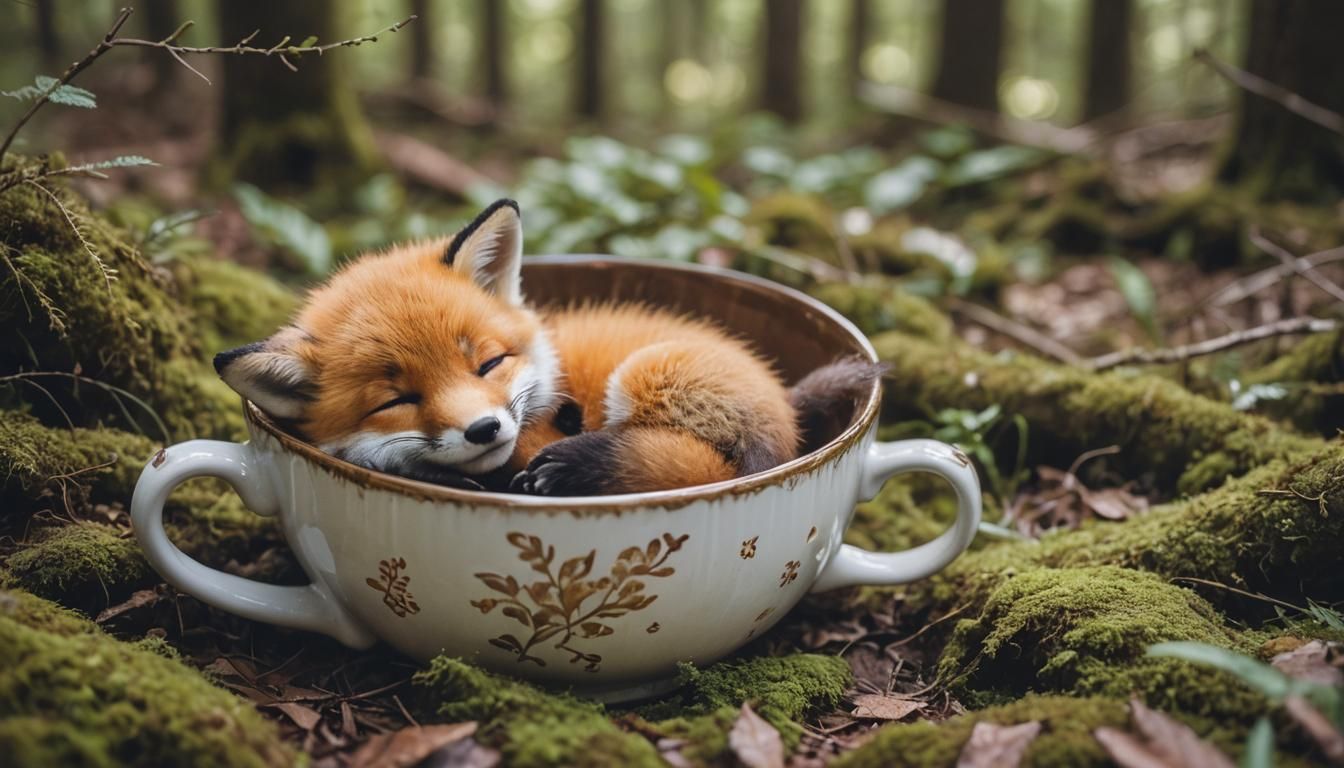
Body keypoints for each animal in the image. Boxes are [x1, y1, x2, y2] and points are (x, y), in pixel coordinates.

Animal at [214, 199, 882, 496]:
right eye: (395, 400)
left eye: (488, 363)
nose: (484, 429)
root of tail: (784, 403)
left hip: (647, 372)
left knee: (708, 466)